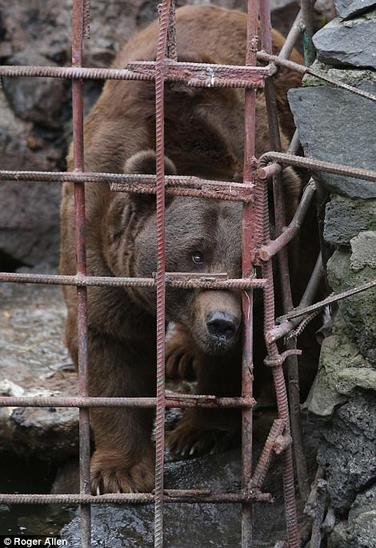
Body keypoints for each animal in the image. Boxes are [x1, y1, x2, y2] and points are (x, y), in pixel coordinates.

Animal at [59, 5, 306, 492]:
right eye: (194, 254)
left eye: (247, 264)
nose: (222, 322)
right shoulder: (97, 236)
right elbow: (107, 342)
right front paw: (121, 471)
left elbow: (241, 356)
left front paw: (196, 434)